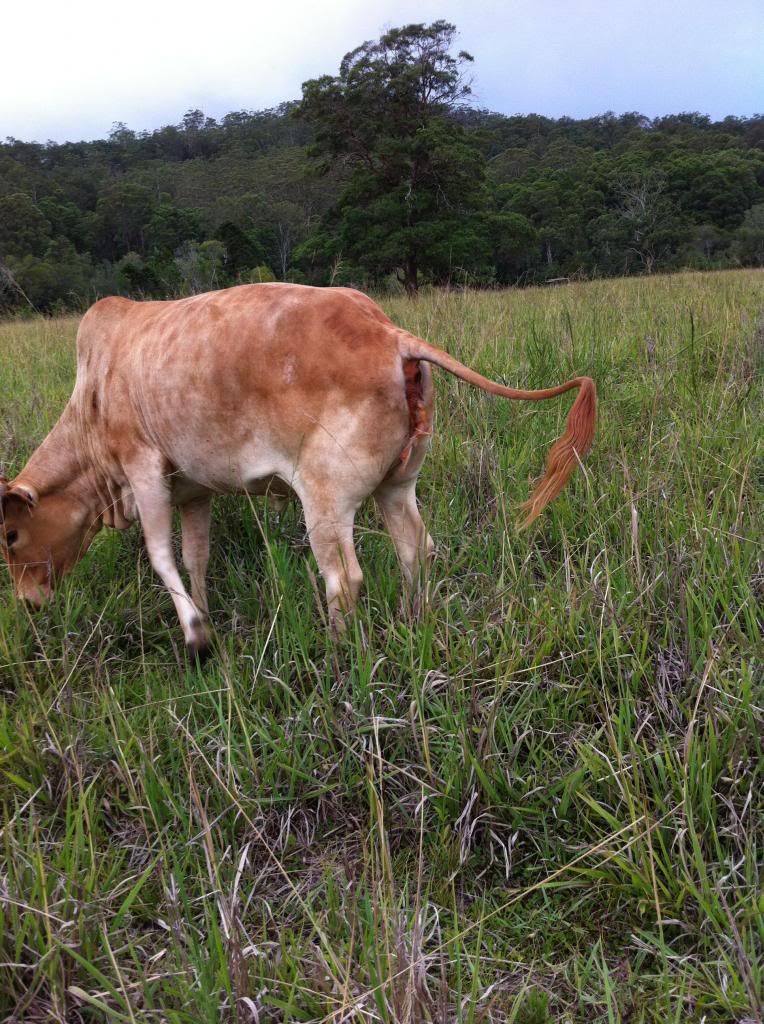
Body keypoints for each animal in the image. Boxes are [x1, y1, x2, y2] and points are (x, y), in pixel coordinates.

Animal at [1, 284, 596, 655]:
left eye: (9, 535)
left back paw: (336, 652)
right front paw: (205, 613)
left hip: (325, 497)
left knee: (344, 578)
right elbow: (195, 558)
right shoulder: (193, 490)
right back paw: (413, 621)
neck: (94, 393)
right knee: (416, 551)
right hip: (398, 485)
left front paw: (196, 636)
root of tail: (388, 332)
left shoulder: (142, 466)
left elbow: (159, 553)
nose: (27, 604)